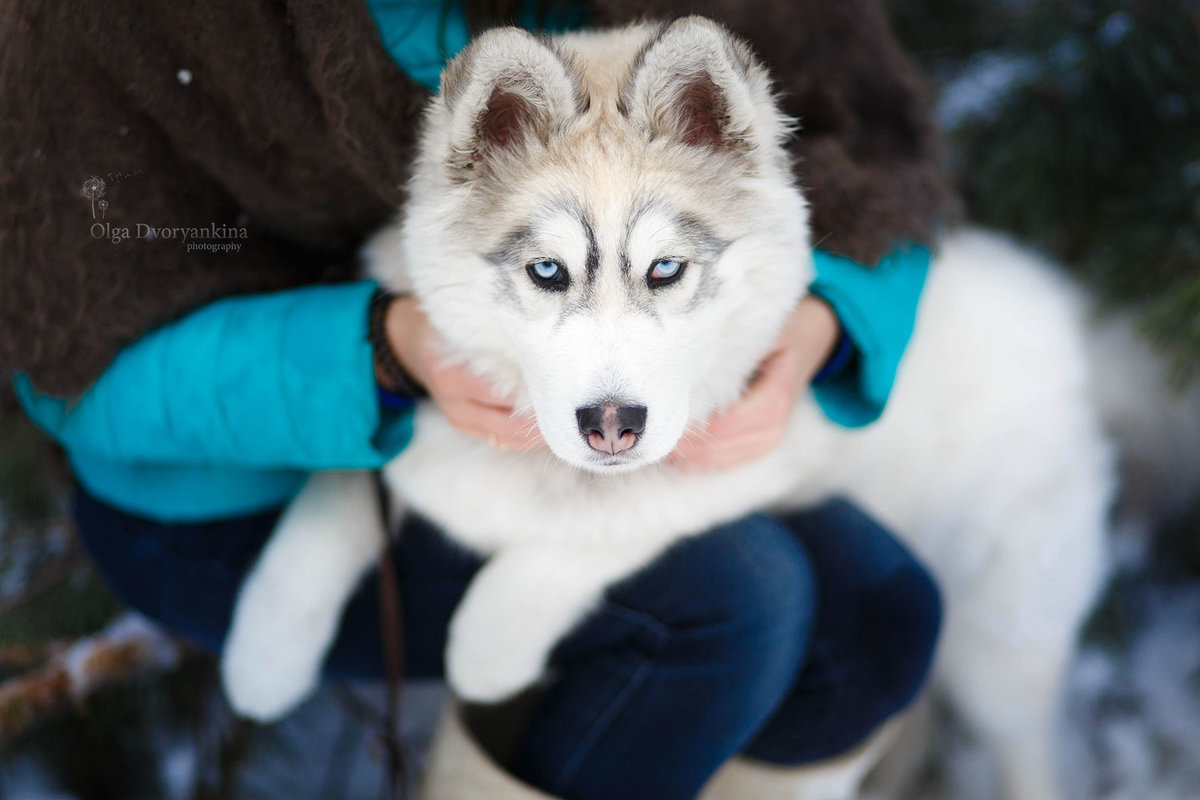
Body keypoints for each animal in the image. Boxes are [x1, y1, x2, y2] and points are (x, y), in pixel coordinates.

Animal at [218, 17, 1200, 800]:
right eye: (548, 271)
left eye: (665, 269)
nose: (612, 424)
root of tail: (1065, 312)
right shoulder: (416, 426)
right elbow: (333, 497)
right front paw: (262, 655)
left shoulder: (761, 447)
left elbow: (597, 534)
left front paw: (486, 645)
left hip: (1003, 633)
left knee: (1025, 743)